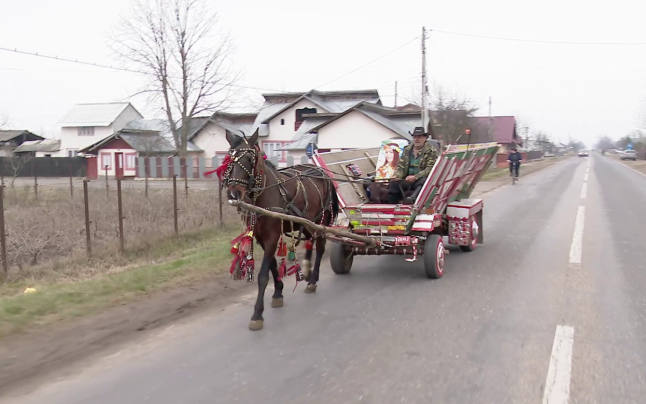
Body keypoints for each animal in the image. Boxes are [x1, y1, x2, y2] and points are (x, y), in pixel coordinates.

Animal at [224, 130, 340, 332]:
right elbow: (271, 266)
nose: (234, 192)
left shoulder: (271, 236)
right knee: (310, 240)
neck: (264, 194)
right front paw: (278, 292)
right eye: (230, 158)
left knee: (320, 246)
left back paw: (312, 279)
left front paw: (257, 314)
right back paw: (307, 268)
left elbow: (263, 275)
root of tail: (321, 172)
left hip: (321, 219)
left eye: (249, 158)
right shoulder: (261, 238)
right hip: (307, 221)